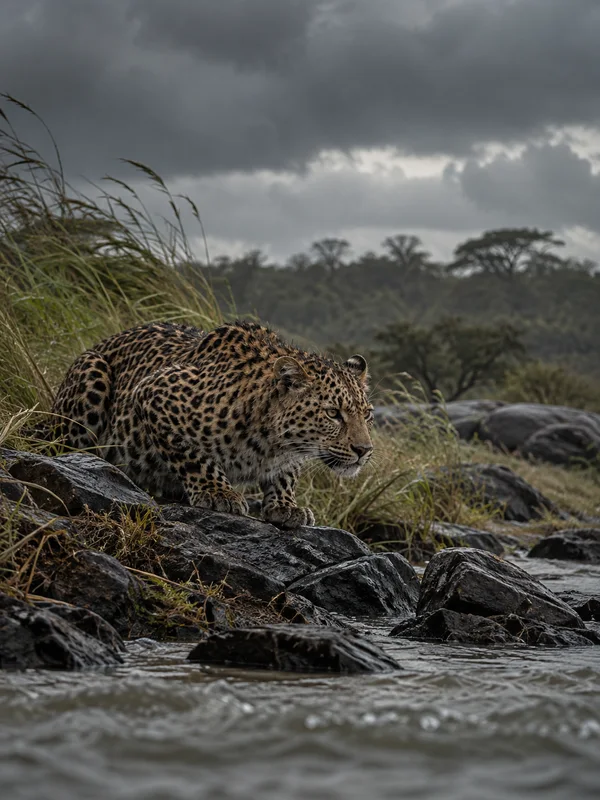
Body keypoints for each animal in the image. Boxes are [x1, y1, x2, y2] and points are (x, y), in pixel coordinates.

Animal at [50, 320, 374, 529]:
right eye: (333, 413)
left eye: (368, 414)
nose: (365, 450)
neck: (272, 442)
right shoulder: (154, 392)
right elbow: (193, 456)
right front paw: (218, 493)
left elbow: (286, 474)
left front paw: (285, 506)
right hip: (93, 373)